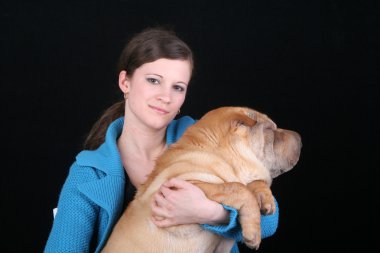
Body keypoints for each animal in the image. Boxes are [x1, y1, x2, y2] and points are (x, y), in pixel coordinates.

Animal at [101, 106, 302, 253]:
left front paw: (266, 199)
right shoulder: (179, 189)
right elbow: (236, 187)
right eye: (270, 130)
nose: (300, 138)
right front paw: (253, 233)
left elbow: (253, 182)